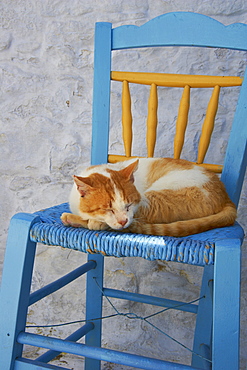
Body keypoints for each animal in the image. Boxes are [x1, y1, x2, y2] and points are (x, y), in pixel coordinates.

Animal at [60, 157, 236, 237]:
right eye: (108, 209)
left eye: (128, 206)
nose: (123, 220)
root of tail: (225, 194)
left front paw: (93, 221)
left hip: (158, 197)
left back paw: (73, 219)